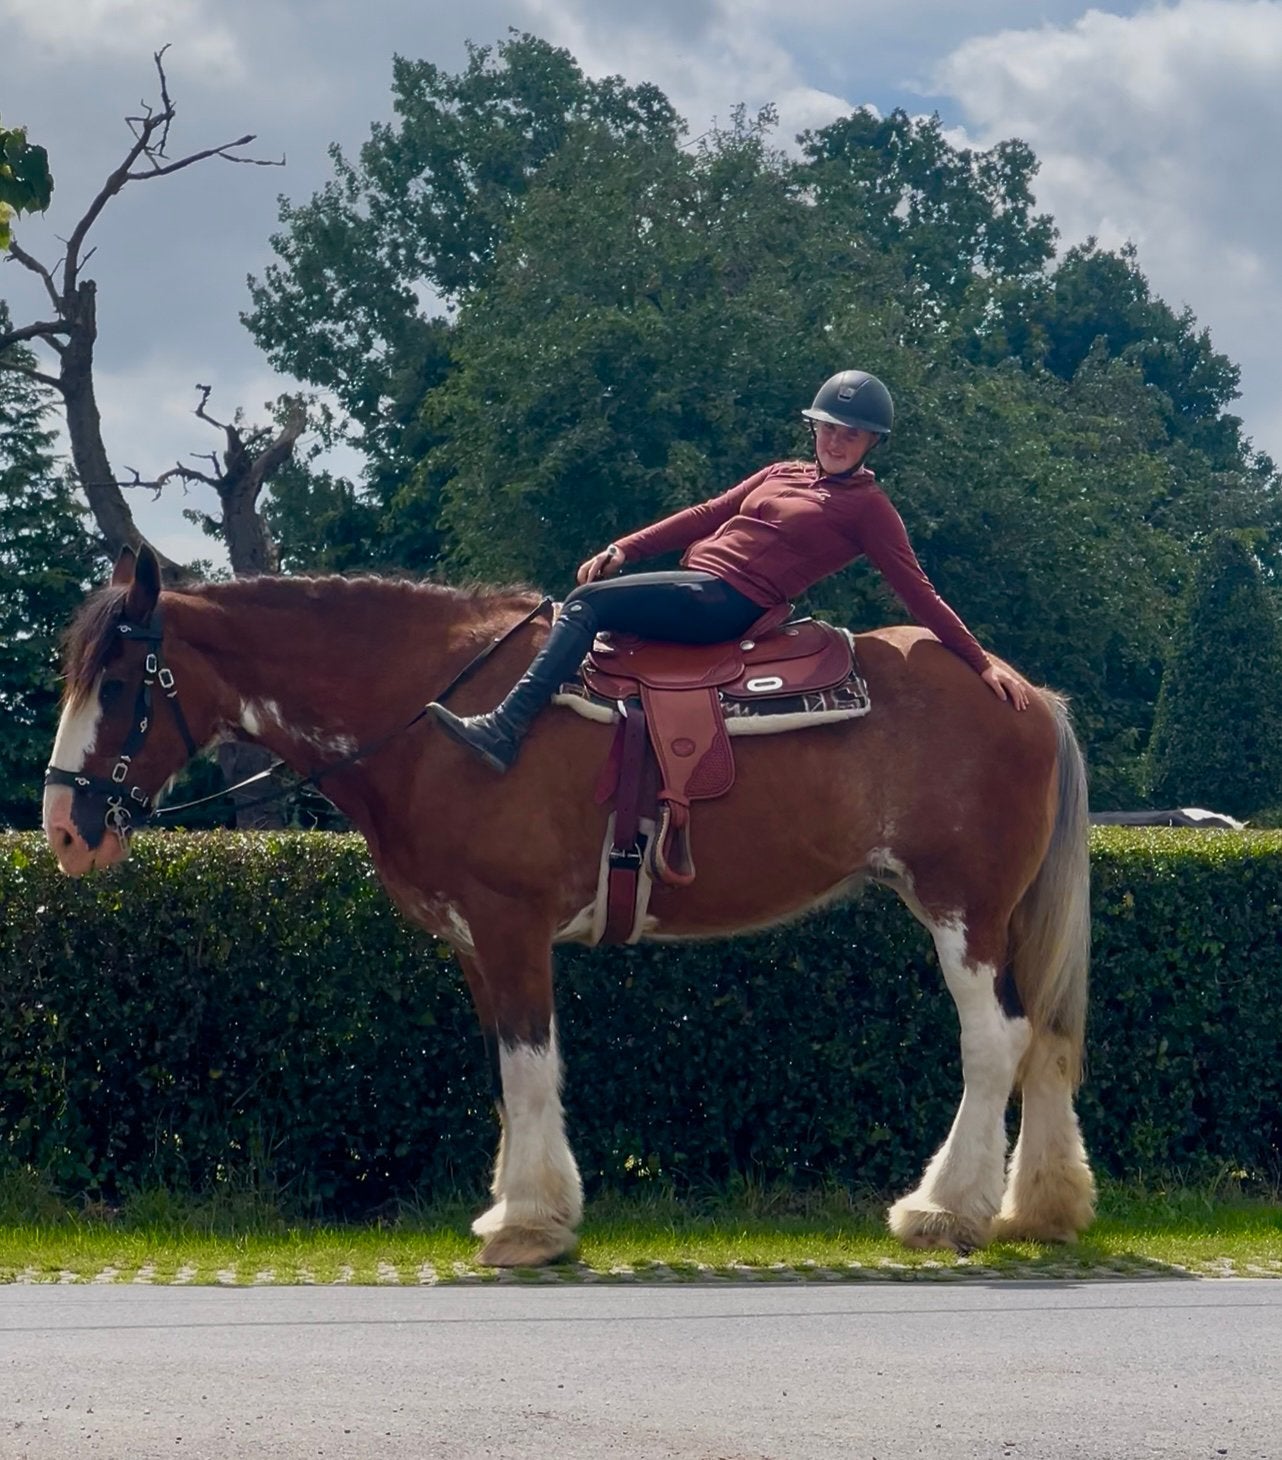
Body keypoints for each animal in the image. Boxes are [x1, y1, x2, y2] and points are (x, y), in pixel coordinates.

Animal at [42, 545, 1095, 1266]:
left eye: (122, 683)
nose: (63, 830)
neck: (433, 717)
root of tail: (1022, 692)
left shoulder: (511, 927)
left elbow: (529, 1066)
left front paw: (530, 1222)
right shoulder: (474, 939)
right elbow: (506, 1070)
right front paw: (522, 1206)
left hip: (961, 910)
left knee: (994, 1041)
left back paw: (946, 1208)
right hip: (998, 920)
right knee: (1044, 1035)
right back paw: (1037, 1207)